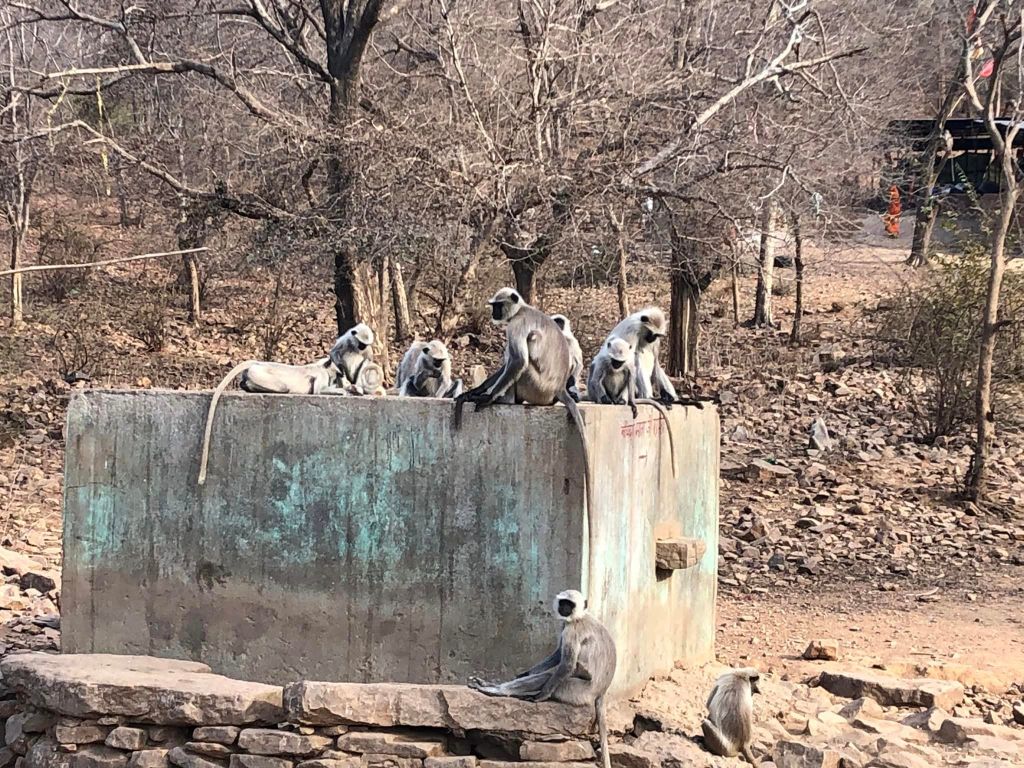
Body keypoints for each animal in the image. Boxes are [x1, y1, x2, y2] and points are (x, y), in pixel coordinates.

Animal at [197, 356, 343, 486]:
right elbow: (318, 391)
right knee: (283, 388)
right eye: (336, 375)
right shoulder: (321, 375)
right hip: (260, 375)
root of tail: (259, 363)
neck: (318, 366)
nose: (335, 381)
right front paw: (343, 390)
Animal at [468, 590, 617, 768]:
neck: (579, 617)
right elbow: (557, 655)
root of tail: (602, 691)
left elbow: (566, 663)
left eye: (570, 604)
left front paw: (541, 696)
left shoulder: (572, 630)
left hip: (577, 690)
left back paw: (498, 691)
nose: (565, 609)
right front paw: (523, 675)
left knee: (551, 676)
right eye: (563, 602)